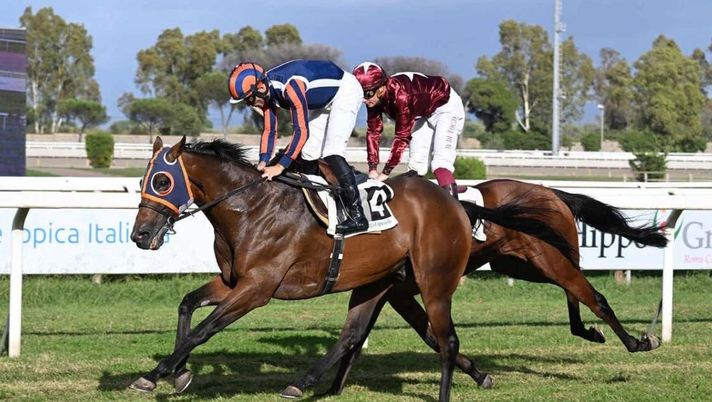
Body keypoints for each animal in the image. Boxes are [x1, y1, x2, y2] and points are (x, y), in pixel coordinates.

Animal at [128, 137, 573, 402]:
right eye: (143, 181)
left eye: (163, 181)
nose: (140, 235)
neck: (251, 208)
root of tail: (455, 203)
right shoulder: (232, 281)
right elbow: (187, 305)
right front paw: (174, 373)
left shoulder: (258, 288)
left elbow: (205, 329)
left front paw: (161, 371)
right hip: (376, 280)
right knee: (354, 334)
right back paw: (304, 382)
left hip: (434, 282)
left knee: (445, 339)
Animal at [280, 178, 668, 398]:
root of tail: (550, 191)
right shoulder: (399, 291)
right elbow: (400, 335)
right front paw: (333, 386)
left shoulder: (400, 289)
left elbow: (400, 334)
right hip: (521, 264)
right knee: (574, 295)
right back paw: (591, 331)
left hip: (547, 259)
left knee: (594, 296)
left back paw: (637, 341)